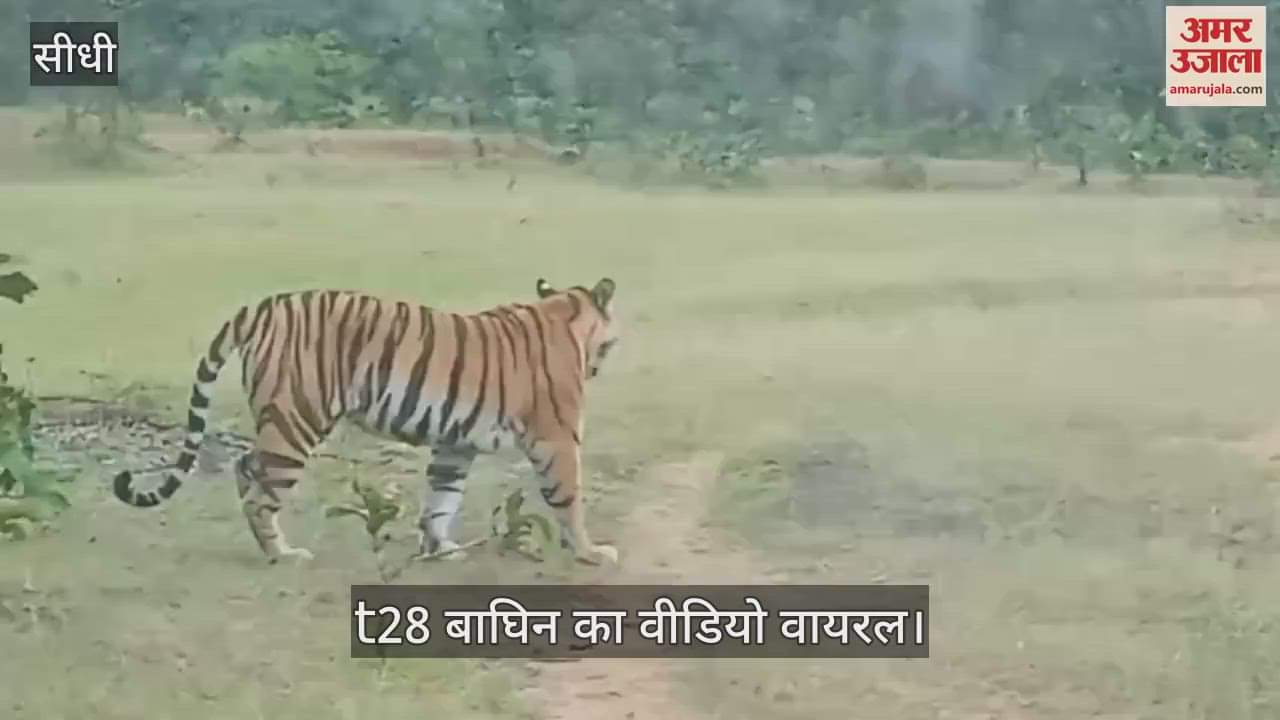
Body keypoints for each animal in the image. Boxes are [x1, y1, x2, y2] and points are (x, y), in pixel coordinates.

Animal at [111, 277, 622, 566]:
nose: (603, 362)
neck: (563, 315)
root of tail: (267, 305)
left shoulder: (455, 444)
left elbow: (442, 498)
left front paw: (441, 550)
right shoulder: (557, 438)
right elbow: (569, 499)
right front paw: (591, 553)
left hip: (280, 420)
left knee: (247, 469)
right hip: (298, 418)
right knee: (260, 493)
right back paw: (283, 555)